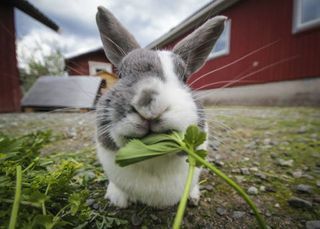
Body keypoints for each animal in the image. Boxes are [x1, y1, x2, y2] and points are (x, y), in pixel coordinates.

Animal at [94, 6, 225, 208]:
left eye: (184, 77)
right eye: (121, 74)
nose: (148, 102)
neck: (152, 156)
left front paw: (193, 197)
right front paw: (117, 200)